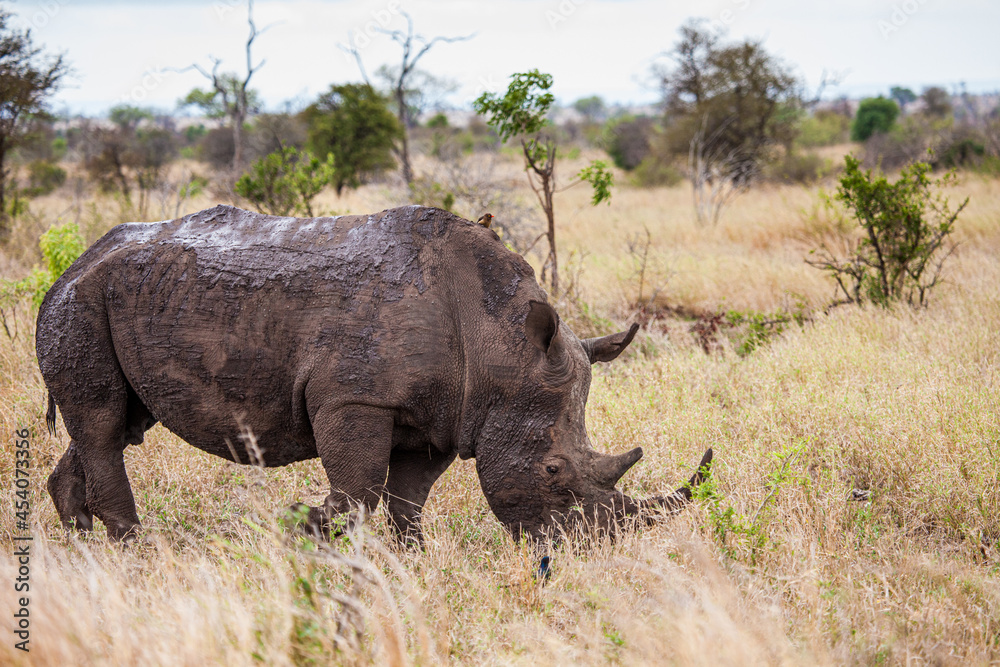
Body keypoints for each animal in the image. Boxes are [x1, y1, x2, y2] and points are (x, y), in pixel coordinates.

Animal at [36, 205, 711, 544]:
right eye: (552, 472)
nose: (589, 548)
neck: (500, 342)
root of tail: (75, 260)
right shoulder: (355, 399)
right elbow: (359, 490)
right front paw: (304, 528)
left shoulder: (445, 416)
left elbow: (408, 500)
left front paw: (410, 559)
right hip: (80, 304)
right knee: (102, 423)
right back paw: (132, 550)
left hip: (122, 300)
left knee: (116, 423)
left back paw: (83, 547)